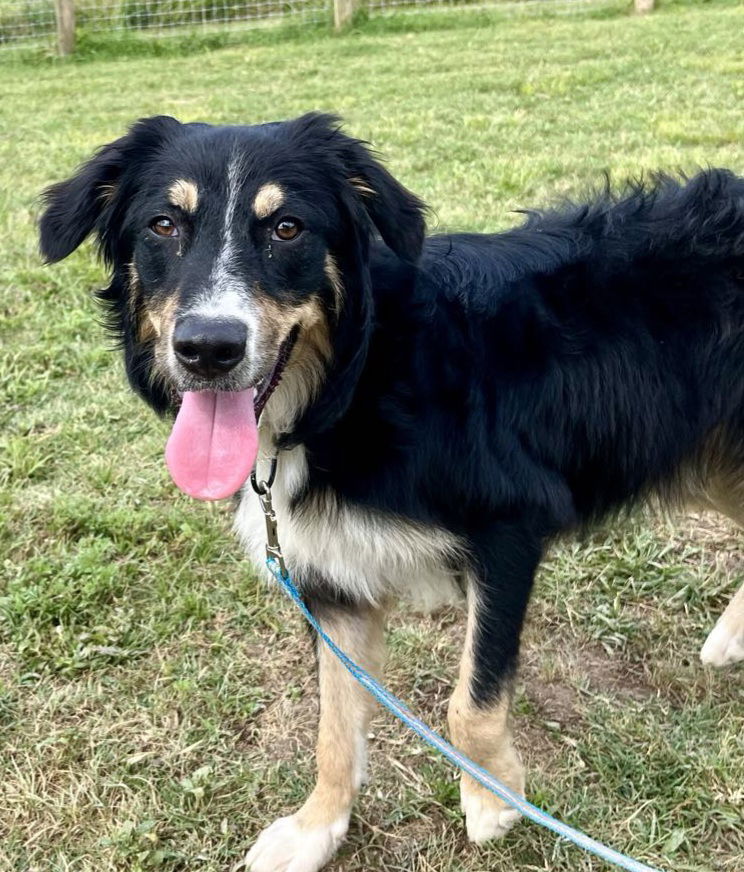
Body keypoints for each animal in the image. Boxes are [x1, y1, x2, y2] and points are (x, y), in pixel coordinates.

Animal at [39, 116, 744, 872]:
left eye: (287, 227)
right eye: (163, 224)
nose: (208, 348)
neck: (355, 382)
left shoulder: (509, 529)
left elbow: (470, 702)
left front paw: (495, 798)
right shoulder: (329, 581)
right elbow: (333, 725)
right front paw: (316, 828)